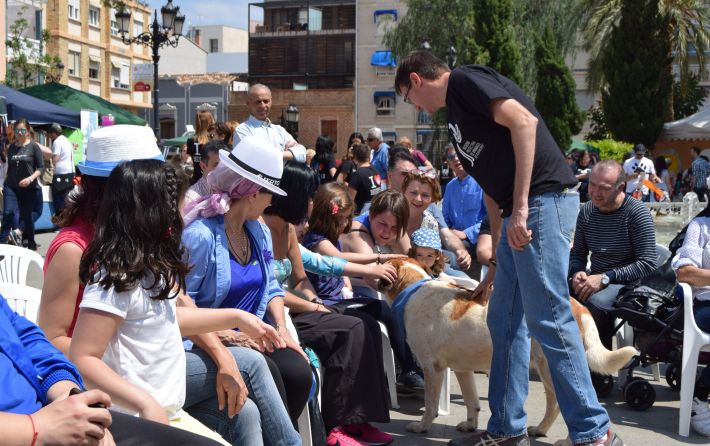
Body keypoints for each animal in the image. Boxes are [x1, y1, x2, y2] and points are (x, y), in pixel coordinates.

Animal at [382, 258, 644, 440]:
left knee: (569, 404)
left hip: (549, 367)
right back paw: (540, 429)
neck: (413, 289)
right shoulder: (462, 370)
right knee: (557, 405)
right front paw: (470, 425)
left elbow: (430, 405)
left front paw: (422, 426)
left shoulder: (432, 369)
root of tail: (579, 306)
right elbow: (471, 401)